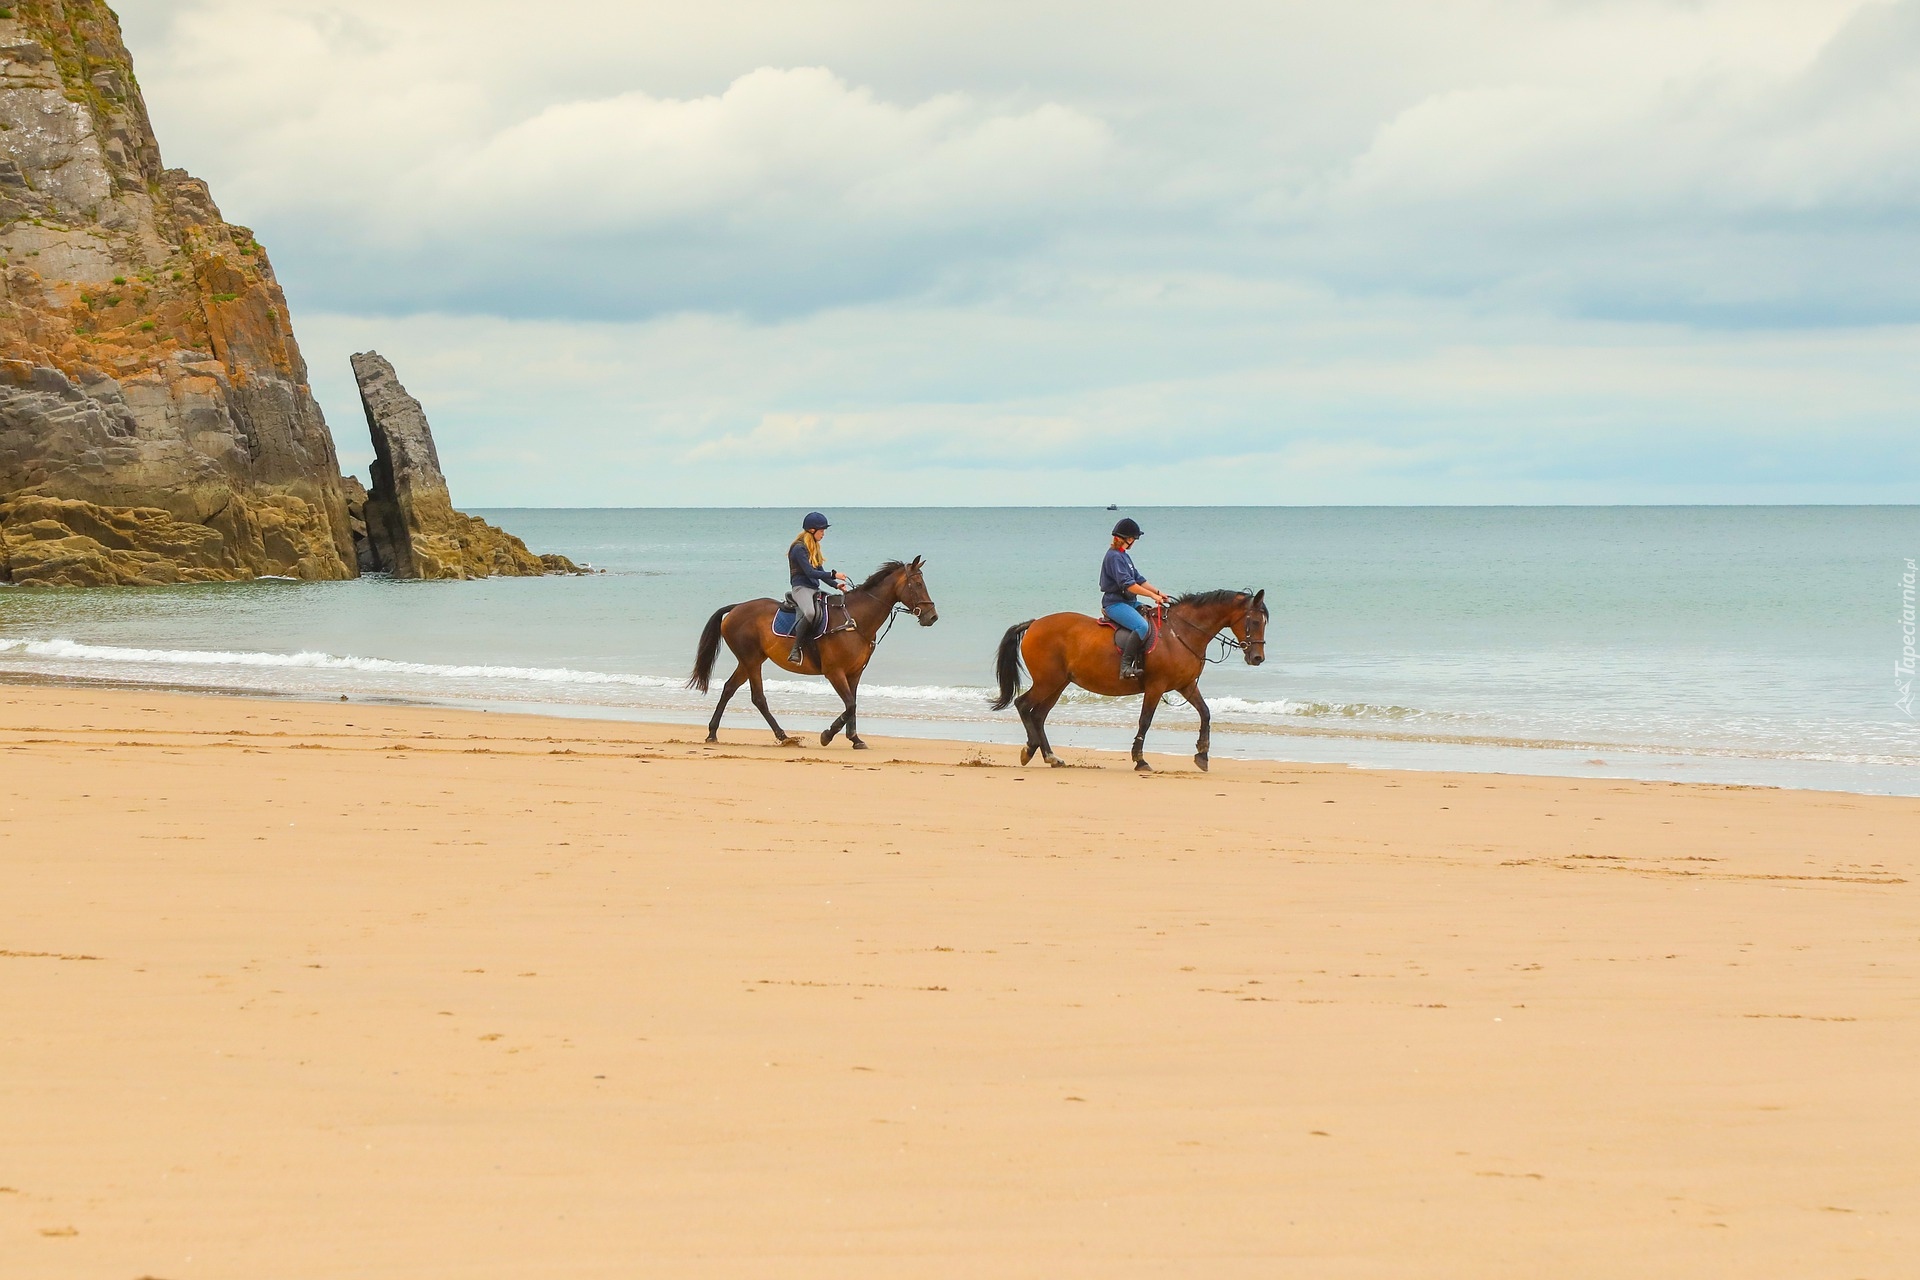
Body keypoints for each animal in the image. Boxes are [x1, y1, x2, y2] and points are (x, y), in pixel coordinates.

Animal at [691, 560, 936, 752]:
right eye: (917, 584)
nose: (932, 616)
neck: (855, 619)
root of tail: (737, 607)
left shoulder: (855, 673)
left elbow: (853, 704)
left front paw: (855, 739)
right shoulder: (834, 672)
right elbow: (850, 705)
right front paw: (827, 735)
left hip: (750, 660)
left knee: (729, 688)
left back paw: (713, 733)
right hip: (751, 660)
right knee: (758, 698)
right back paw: (783, 736)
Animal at [990, 591, 1274, 771]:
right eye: (1254, 621)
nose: (1257, 658)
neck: (1180, 633)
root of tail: (1035, 623)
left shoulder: (1186, 685)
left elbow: (1205, 712)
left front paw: (1202, 754)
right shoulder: (1156, 687)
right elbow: (1145, 721)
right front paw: (1140, 760)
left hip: (1058, 684)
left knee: (1038, 715)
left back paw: (1050, 757)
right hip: (1048, 682)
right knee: (1023, 705)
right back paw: (1030, 750)